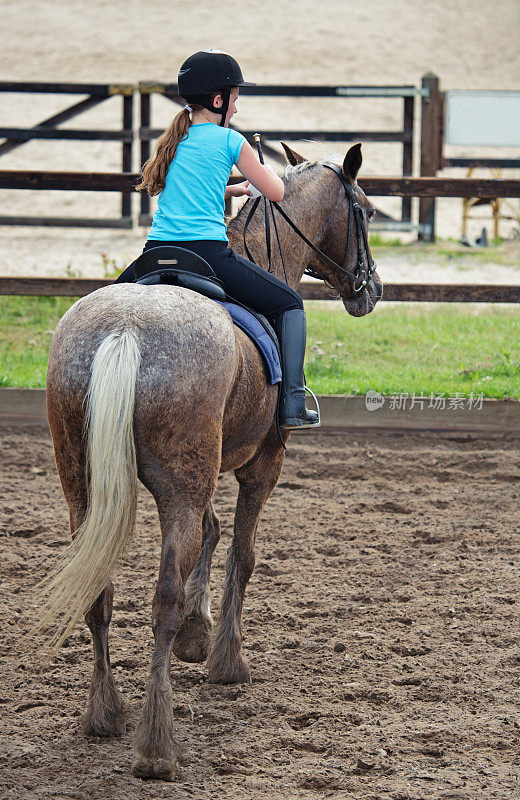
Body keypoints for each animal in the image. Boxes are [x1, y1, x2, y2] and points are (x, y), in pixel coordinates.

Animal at [35, 141, 382, 780]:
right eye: (365, 212)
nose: (370, 289)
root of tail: (127, 328)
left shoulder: (206, 469)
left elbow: (214, 533)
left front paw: (200, 635)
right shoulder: (260, 464)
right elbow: (242, 553)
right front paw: (224, 659)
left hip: (87, 485)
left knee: (101, 590)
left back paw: (105, 714)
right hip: (184, 483)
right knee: (162, 598)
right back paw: (156, 743)